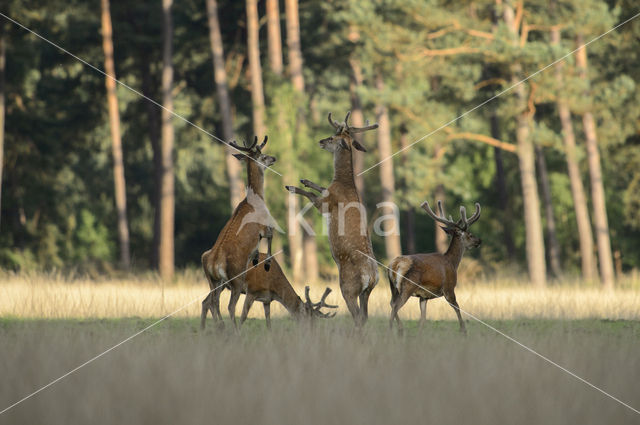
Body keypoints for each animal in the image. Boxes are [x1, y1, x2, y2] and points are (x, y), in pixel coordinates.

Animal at [201, 136, 276, 328]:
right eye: (263, 156)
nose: (273, 158)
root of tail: (213, 263)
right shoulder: (264, 226)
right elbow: (271, 235)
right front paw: (266, 262)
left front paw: (256, 258)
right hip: (236, 278)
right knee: (229, 305)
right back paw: (233, 329)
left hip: (214, 281)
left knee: (210, 301)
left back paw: (215, 327)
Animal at [284, 112, 378, 324]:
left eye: (334, 138)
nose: (321, 141)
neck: (343, 182)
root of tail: (371, 277)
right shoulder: (328, 191)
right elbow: (320, 186)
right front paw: (305, 180)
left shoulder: (327, 203)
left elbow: (312, 195)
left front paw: (292, 186)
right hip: (366, 292)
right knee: (365, 316)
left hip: (347, 286)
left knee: (357, 316)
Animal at [384, 200, 480, 332]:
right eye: (469, 234)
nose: (479, 241)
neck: (453, 262)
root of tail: (395, 264)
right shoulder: (449, 287)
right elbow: (457, 308)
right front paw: (463, 330)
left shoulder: (423, 296)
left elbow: (423, 318)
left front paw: (420, 332)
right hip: (408, 286)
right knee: (395, 306)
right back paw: (393, 330)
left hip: (393, 287)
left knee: (391, 303)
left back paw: (400, 329)